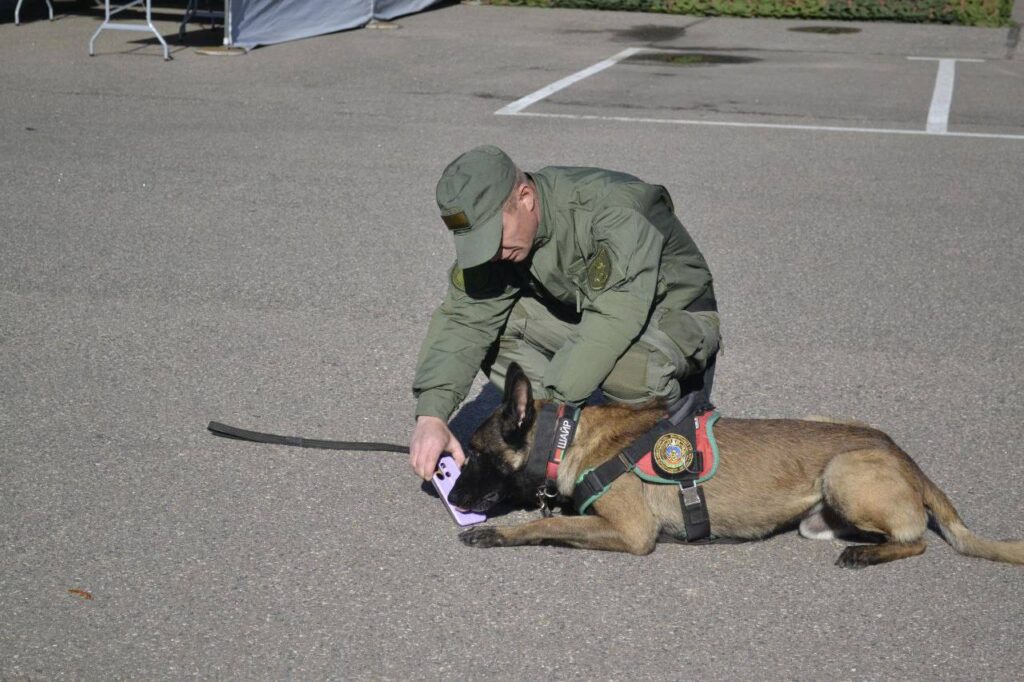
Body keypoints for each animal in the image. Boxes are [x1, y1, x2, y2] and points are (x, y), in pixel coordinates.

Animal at [450, 364, 1024, 565]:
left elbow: (544, 525)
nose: (450, 494)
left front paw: (496, 533)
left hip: (842, 472)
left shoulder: (632, 532)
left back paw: (865, 554)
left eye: (475, 453)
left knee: (916, 538)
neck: (565, 439)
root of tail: (905, 456)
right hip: (821, 505)